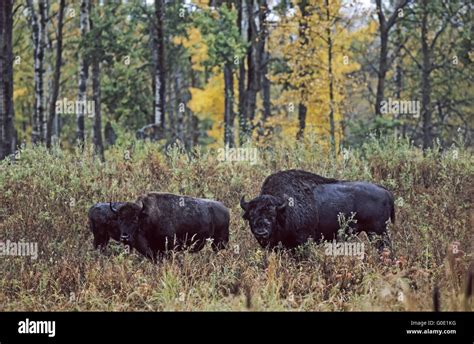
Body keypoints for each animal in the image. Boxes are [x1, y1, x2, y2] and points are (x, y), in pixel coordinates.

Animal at [239, 169, 394, 250]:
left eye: (272, 215)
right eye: (251, 216)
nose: (261, 232)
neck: (284, 210)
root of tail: (384, 190)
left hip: (377, 232)